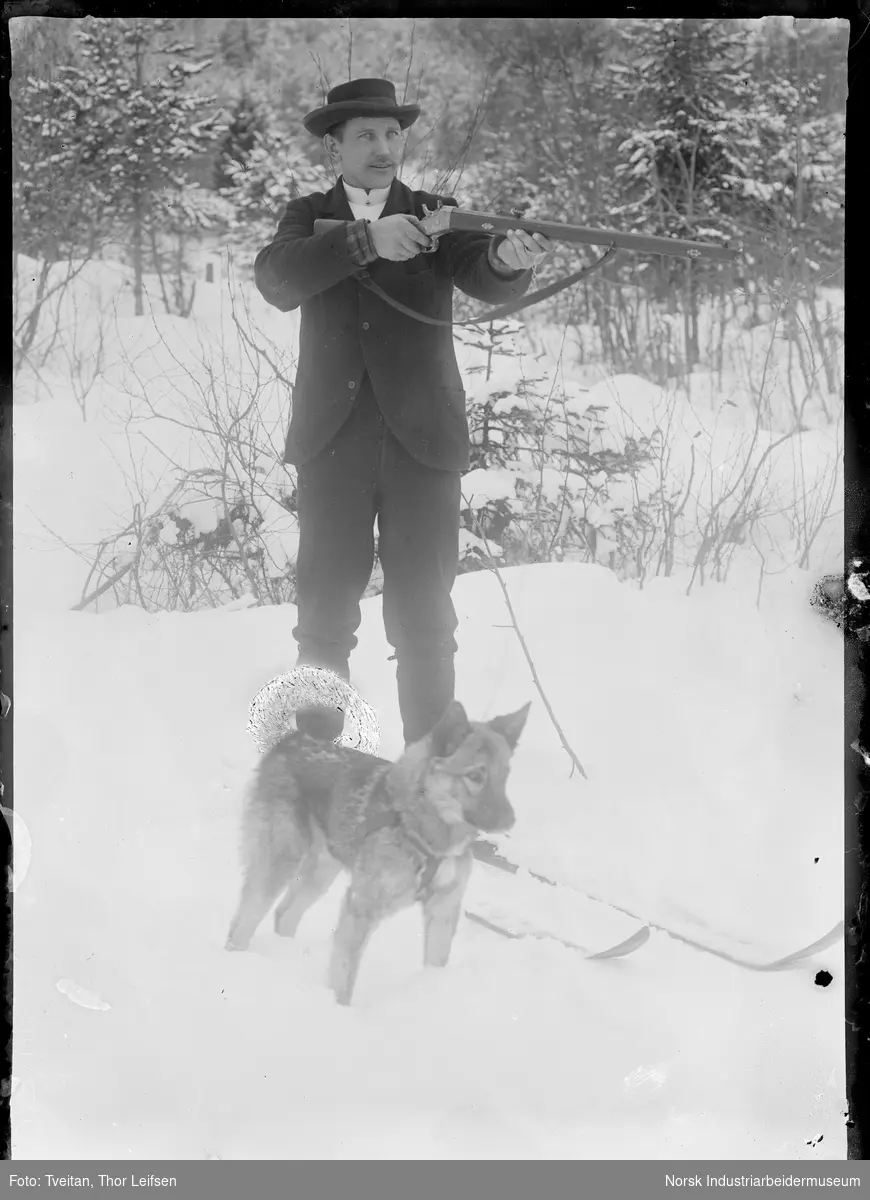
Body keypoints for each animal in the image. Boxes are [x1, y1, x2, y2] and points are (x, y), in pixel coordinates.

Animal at [224, 700, 530, 1008]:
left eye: (505, 776)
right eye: (475, 776)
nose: (511, 821)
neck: (426, 830)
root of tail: (294, 741)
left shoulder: (443, 909)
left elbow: (435, 963)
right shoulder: (361, 906)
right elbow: (344, 977)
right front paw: (340, 1012)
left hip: (320, 873)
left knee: (285, 913)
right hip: (281, 861)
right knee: (242, 923)